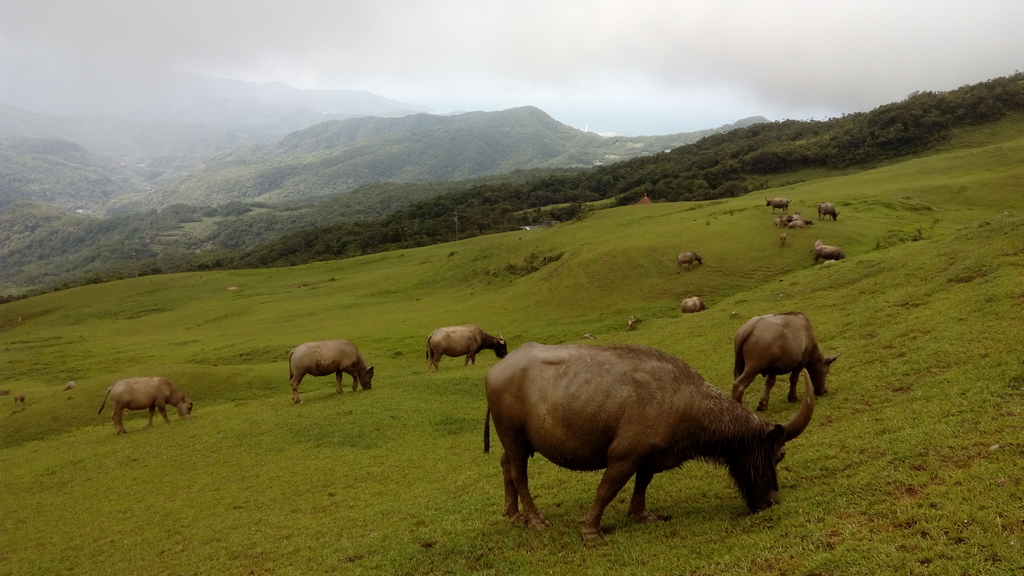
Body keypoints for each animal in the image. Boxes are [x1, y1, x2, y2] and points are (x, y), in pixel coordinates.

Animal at [483, 342, 811, 541]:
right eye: (779, 454)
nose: (771, 500)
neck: (684, 399)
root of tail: (495, 371)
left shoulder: (650, 456)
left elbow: (643, 483)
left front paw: (641, 514)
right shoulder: (623, 456)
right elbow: (606, 490)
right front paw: (590, 529)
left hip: (515, 442)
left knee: (506, 465)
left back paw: (513, 514)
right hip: (515, 438)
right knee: (519, 473)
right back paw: (535, 519)